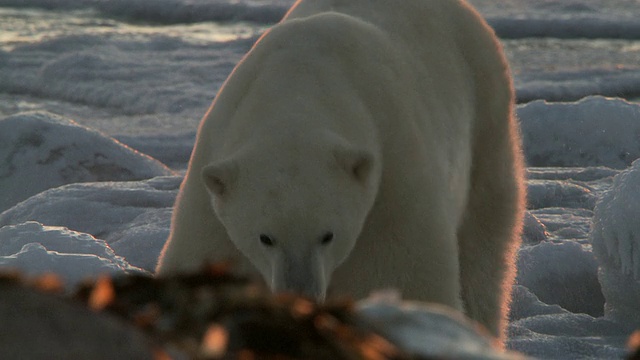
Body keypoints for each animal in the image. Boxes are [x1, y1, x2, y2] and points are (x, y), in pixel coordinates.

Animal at [155, 0, 524, 344]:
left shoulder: (391, 178)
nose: (301, 293)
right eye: (265, 237)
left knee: (484, 253)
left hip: (486, 119)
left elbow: (403, 277)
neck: (296, 86)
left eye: (327, 235)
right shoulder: (211, 175)